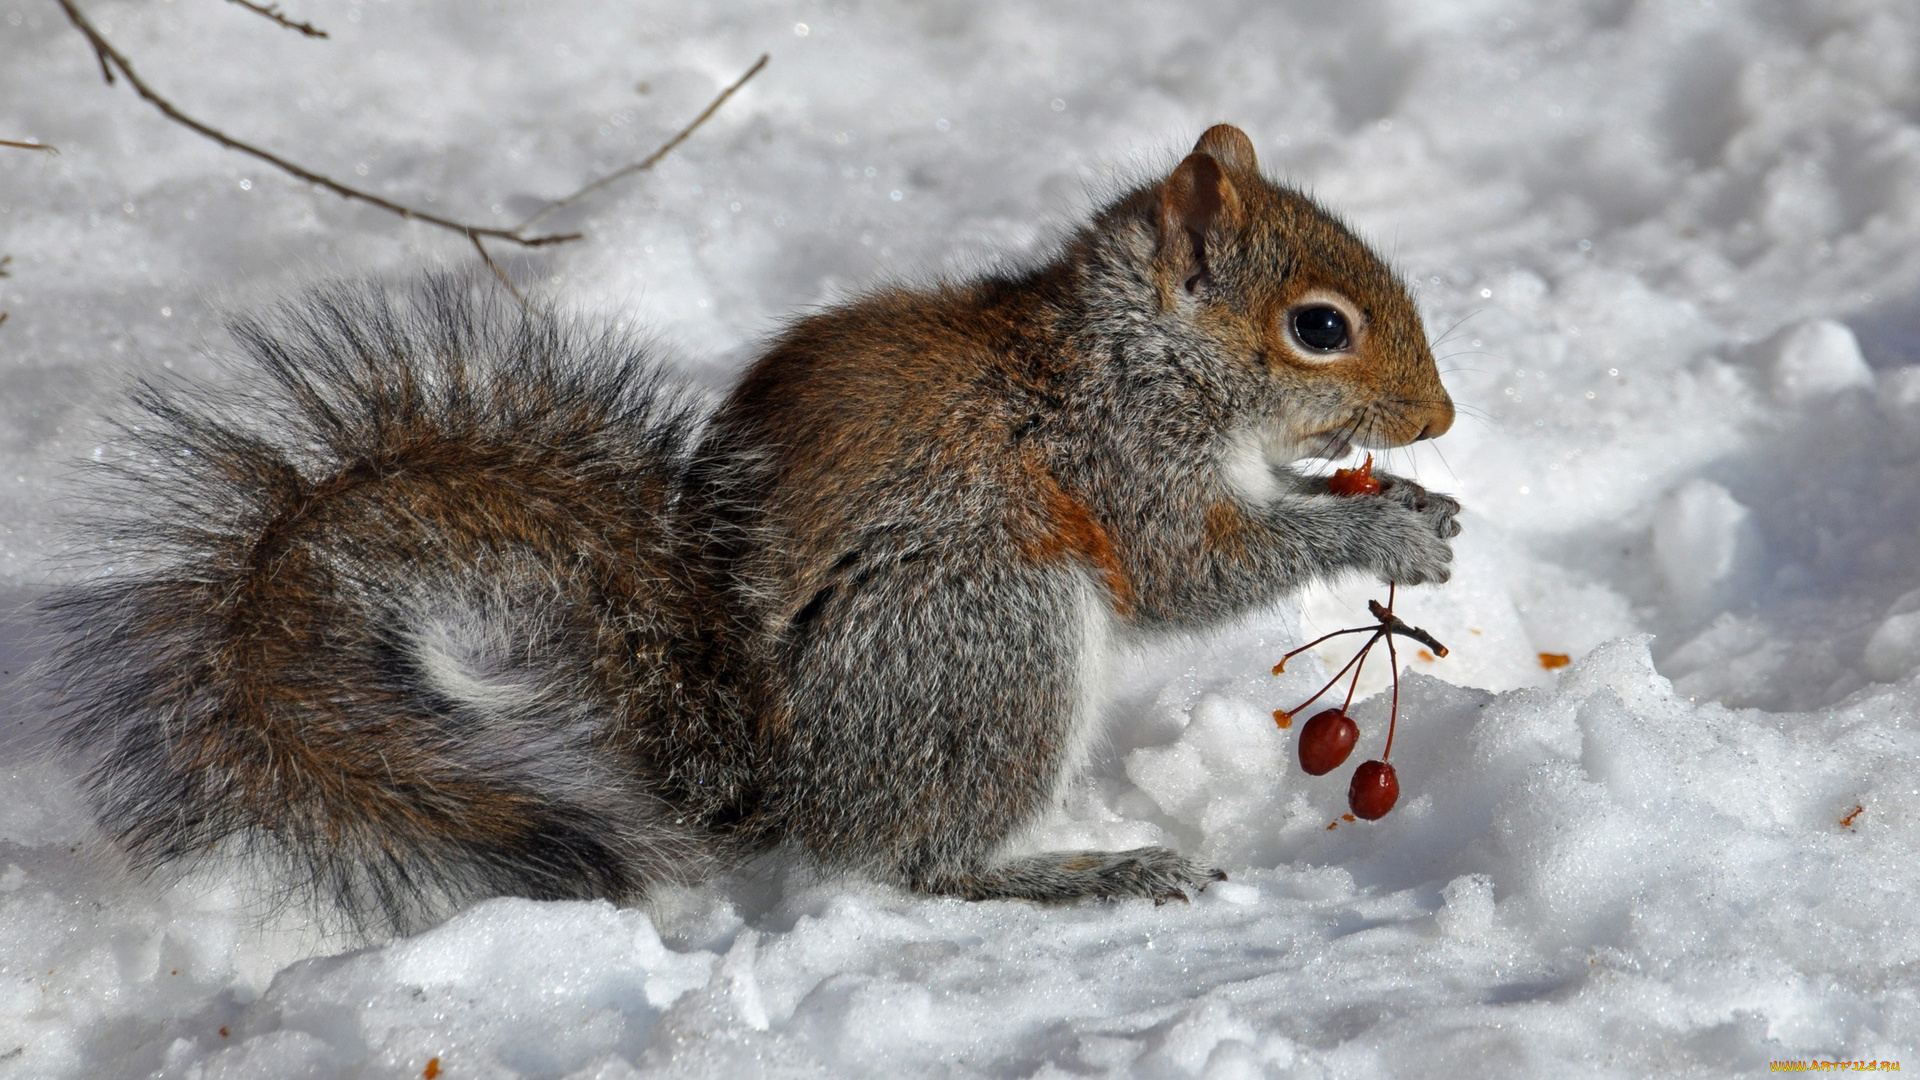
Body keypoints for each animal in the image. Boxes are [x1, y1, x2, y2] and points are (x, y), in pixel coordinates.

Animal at [41, 123, 1451, 926]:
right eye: (1318, 327)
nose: (1437, 418)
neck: (1134, 352)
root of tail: (779, 782)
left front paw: (1414, 506)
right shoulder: (1114, 461)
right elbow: (1185, 570)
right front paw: (1379, 537)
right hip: (990, 627)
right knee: (914, 861)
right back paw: (1079, 874)